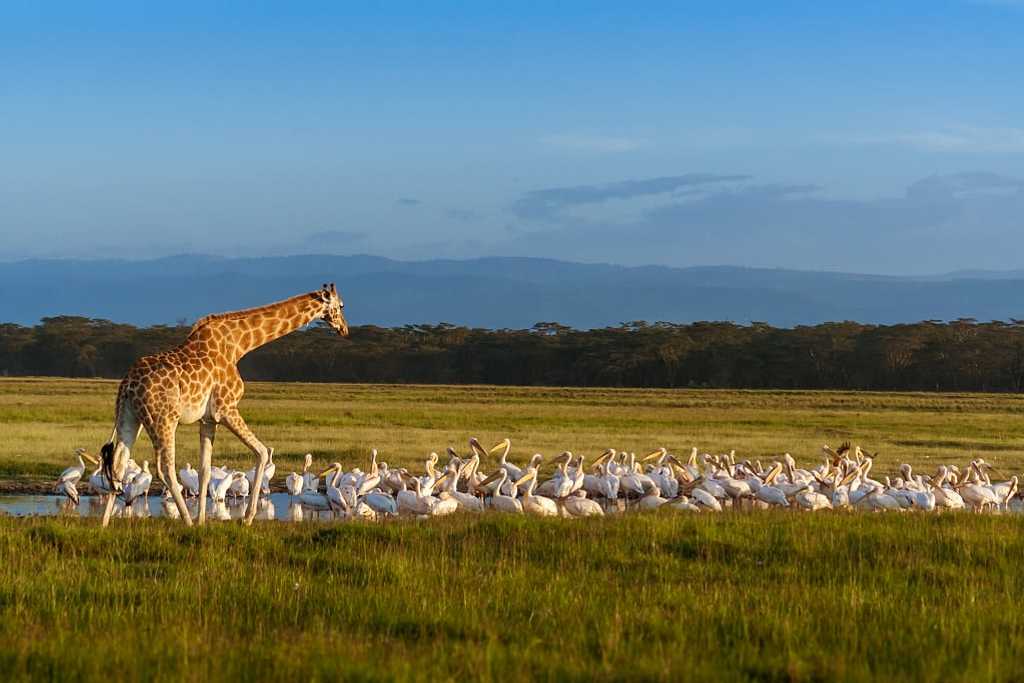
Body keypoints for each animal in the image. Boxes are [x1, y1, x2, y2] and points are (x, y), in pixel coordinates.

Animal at [99, 282, 348, 528]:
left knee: (118, 464)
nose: (344, 329)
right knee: (165, 468)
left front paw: (202, 521)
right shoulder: (226, 408)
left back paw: (104, 523)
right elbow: (262, 452)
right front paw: (246, 518)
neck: (239, 345)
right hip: (163, 420)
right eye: (341, 305)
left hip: (130, 417)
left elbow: (205, 470)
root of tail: (127, 384)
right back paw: (186, 521)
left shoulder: (208, 419)